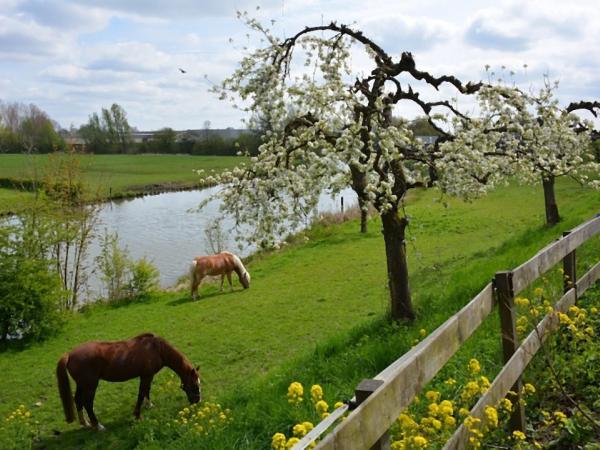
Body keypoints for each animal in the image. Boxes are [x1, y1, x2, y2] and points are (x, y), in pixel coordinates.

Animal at [56, 332, 202, 430]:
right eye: (194, 385)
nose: (197, 401)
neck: (157, 349)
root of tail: (69, 355)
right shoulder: (146, 376)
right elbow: (141, 393)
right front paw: (137, 415)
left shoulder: (148, 376)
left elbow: (147, 391)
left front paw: (149, 405)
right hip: (90, 386)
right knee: (87, 403)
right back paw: (97, 425)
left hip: (82, 385)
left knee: (78, 400)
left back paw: (85, 423)